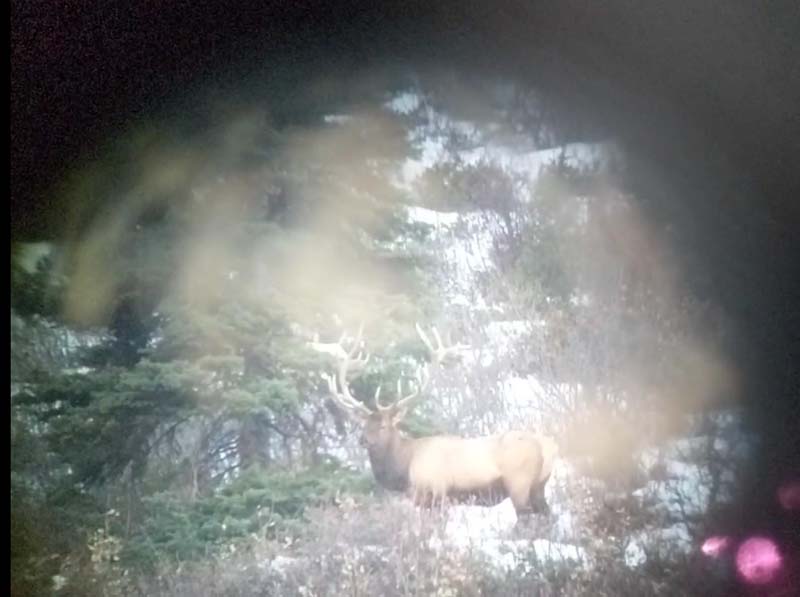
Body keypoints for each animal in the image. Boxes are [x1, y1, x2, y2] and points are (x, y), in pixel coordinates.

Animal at [319, 323, 557, 518]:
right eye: (364, 424)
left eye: (384, 425)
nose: (363, 440)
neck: (404, 468)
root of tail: (548, 448)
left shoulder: (436, 493)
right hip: (539, 487)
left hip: (519, 484)